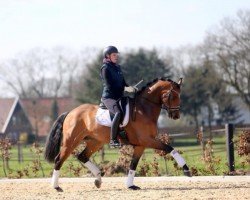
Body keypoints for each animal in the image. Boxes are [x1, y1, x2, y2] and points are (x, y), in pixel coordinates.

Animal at [44, 77, 191, 191]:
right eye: (173, 96)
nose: (176, 116)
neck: (144, 109)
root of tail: (70, 112)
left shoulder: (141, 145)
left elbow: (133, 165)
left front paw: (131, 185)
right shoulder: (147, 140)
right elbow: (170, 148)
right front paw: (186, 169)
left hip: (95, 142)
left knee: (82, 156)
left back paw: (98, 179)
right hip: (71, 141)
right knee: (59, 159)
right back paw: (56, 187)